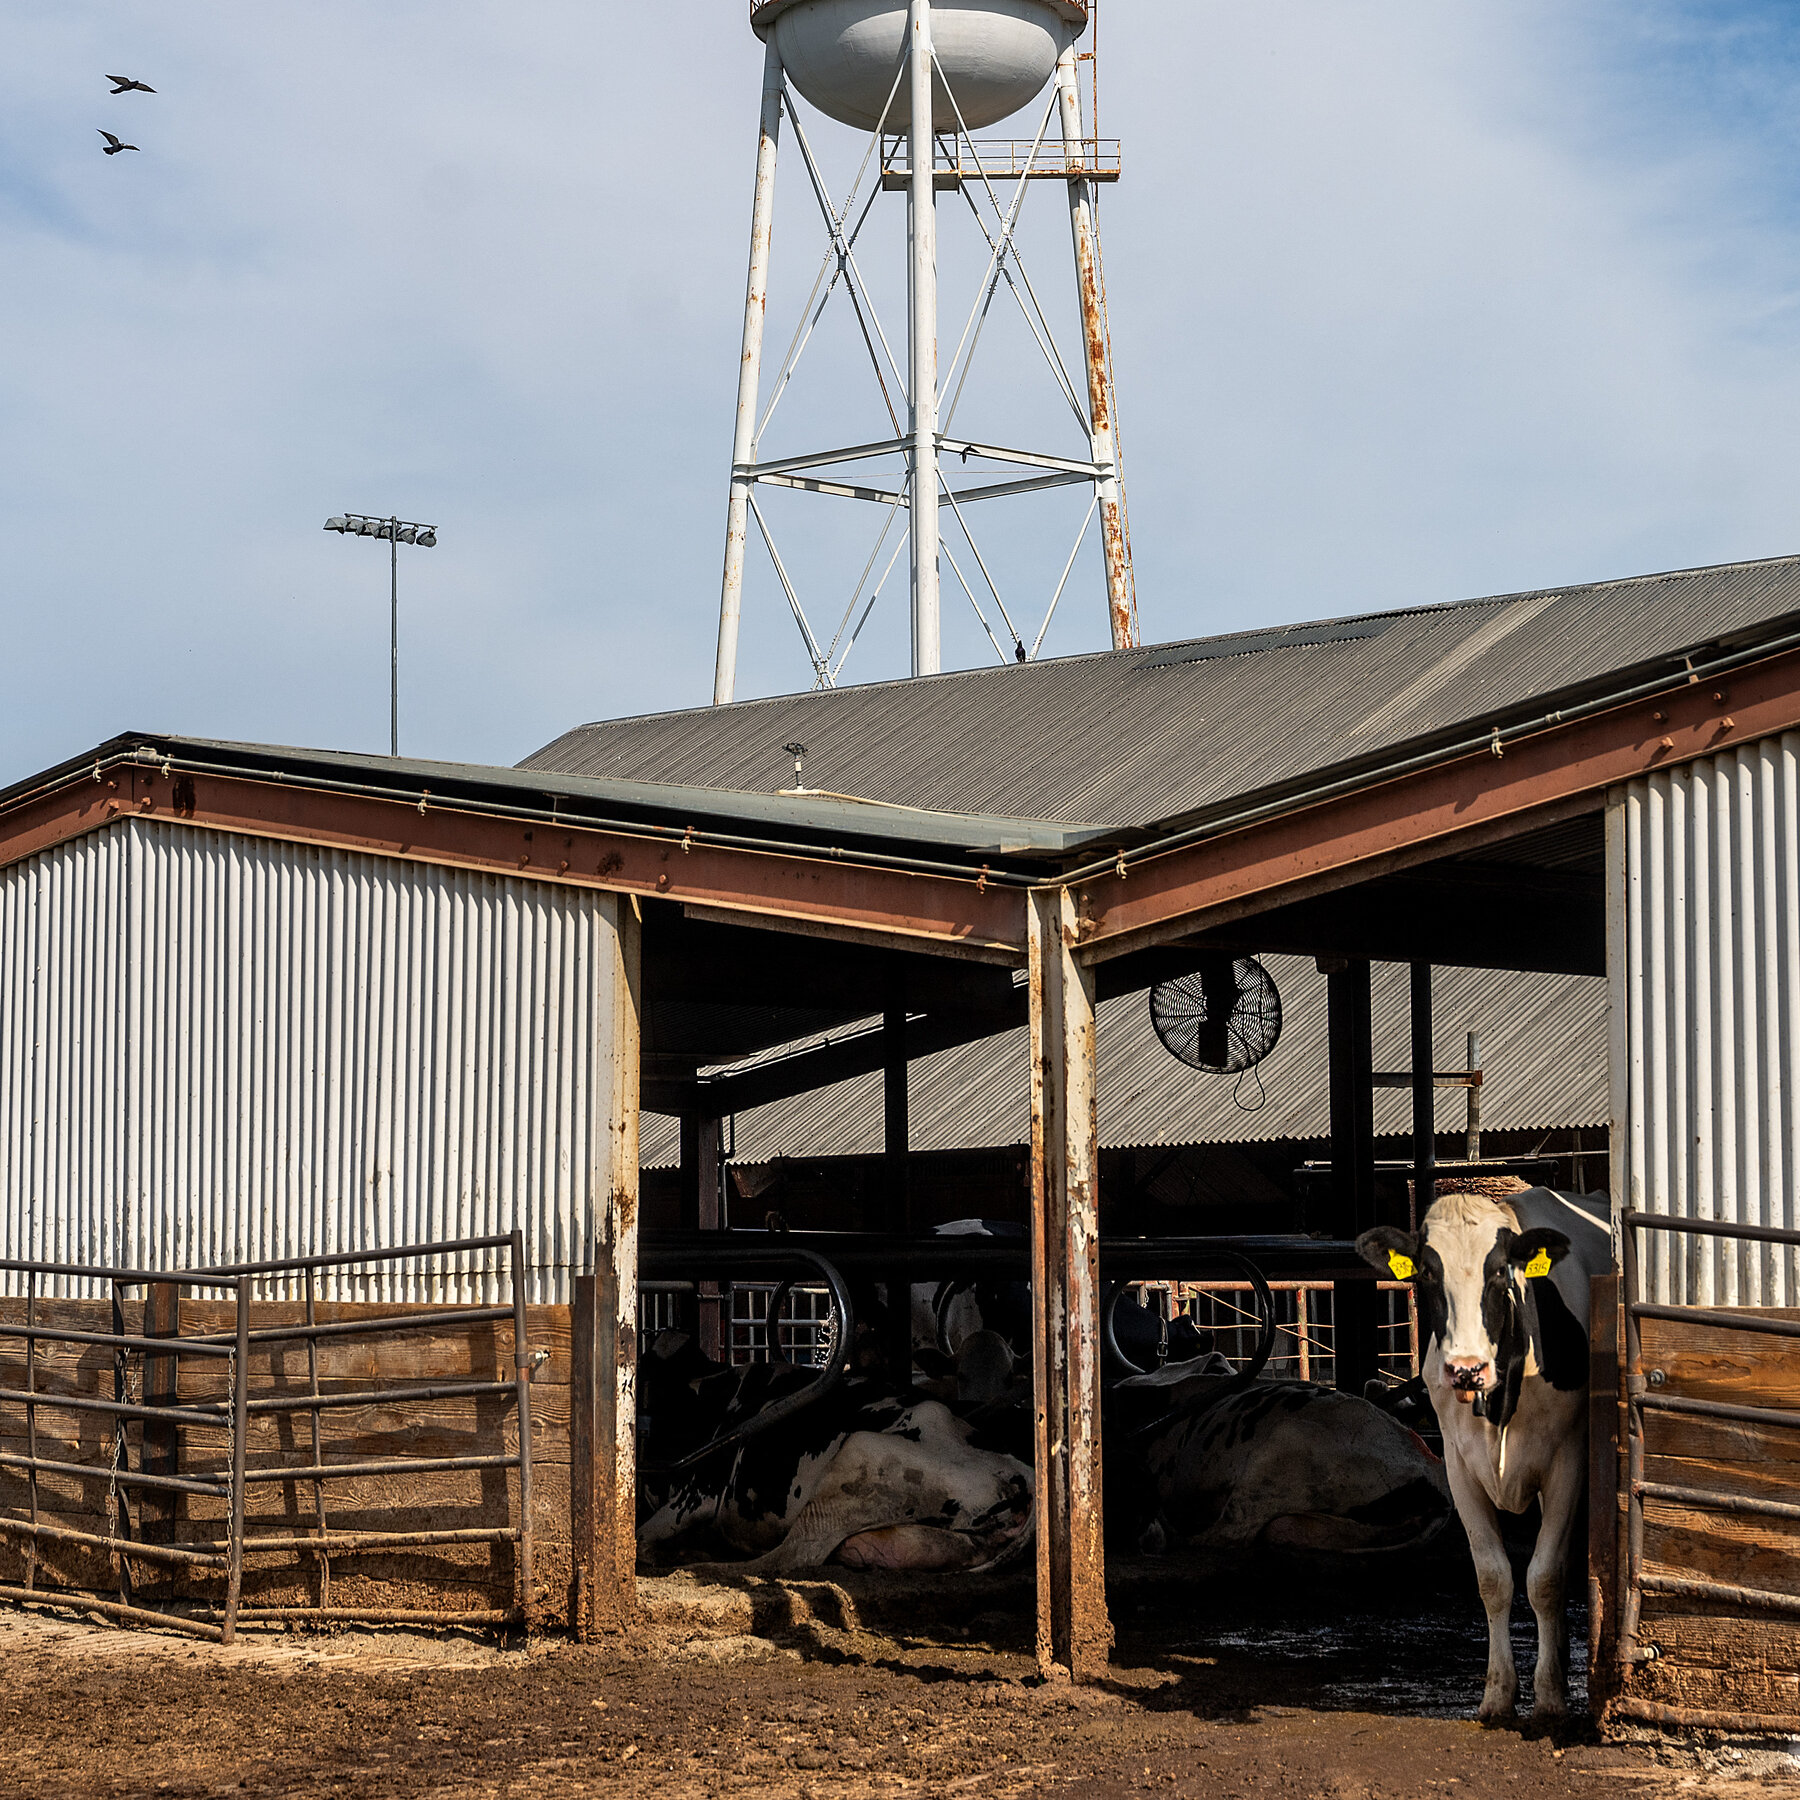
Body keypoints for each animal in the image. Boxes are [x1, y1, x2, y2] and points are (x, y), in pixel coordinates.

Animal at [637, 1339, 1036, 1576]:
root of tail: (1024, 1474)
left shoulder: (697, 1493)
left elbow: (642, 1537)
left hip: (858, 1453)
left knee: (793, 1554)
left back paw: (701, 1566)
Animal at [1353, 1188, 1612, 1720]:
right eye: (1427, 1274)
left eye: (1498, 1273)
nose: (1466, 1368)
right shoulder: (1458, 1466)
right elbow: (1494, 1579)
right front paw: (1498, 1694)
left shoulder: (1568, 1459)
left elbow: (1545, 1578)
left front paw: (1550, 1698)